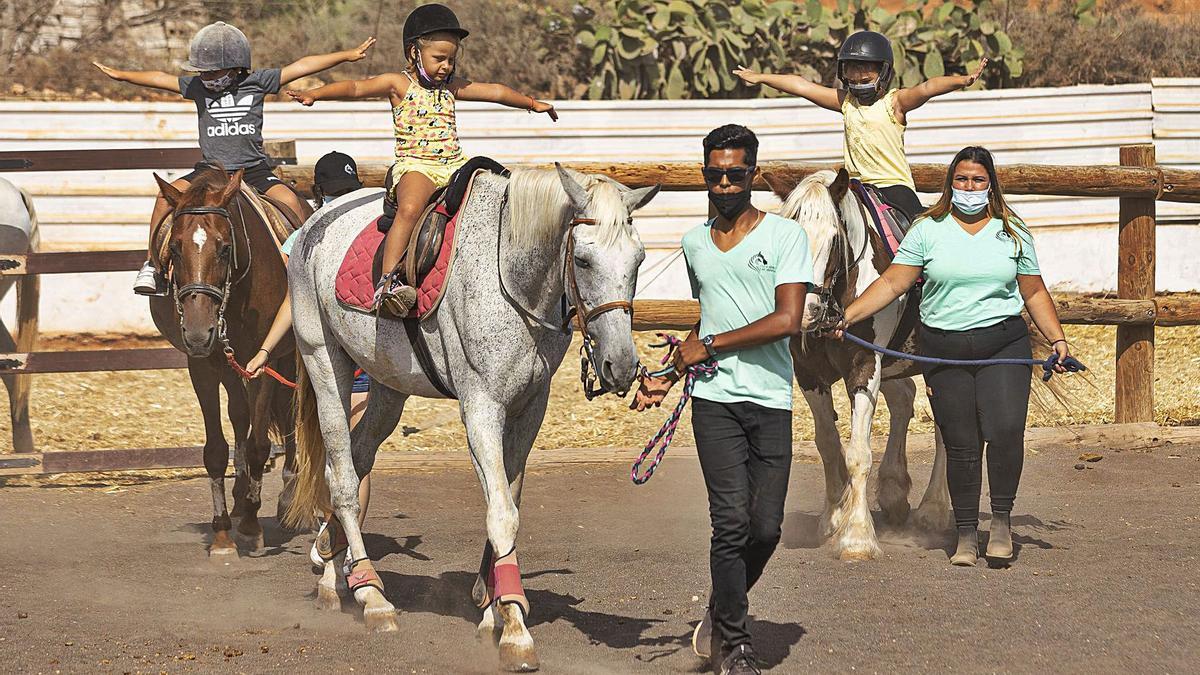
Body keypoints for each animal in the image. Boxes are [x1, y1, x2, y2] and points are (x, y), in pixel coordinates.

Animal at [148, 165, 304, 554]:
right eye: (174, 248)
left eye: (225, 248)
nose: (198, 331)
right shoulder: (202, 365)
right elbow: (216, 449)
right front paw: (222, 531)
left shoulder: (263, 363)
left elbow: (261, 445)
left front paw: (251, 526)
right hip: (229, 368)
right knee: (240, 415)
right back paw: (239, 498)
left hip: (291, 357)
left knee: (289, 414)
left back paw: (288, 498)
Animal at [285, 164, 662, 667]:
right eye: (582, 260)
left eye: (638, 260)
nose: (620, 365)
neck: (511, 279)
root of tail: (312, 225)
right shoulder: (482, 407)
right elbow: (501, 513)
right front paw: (515, 628)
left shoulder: (530, 407)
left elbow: (509, 500)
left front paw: (492, 609)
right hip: (326, 363)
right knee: (342, 477)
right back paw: (372, 596)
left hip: (387, 386)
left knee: (355, 459)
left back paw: (331, 567)